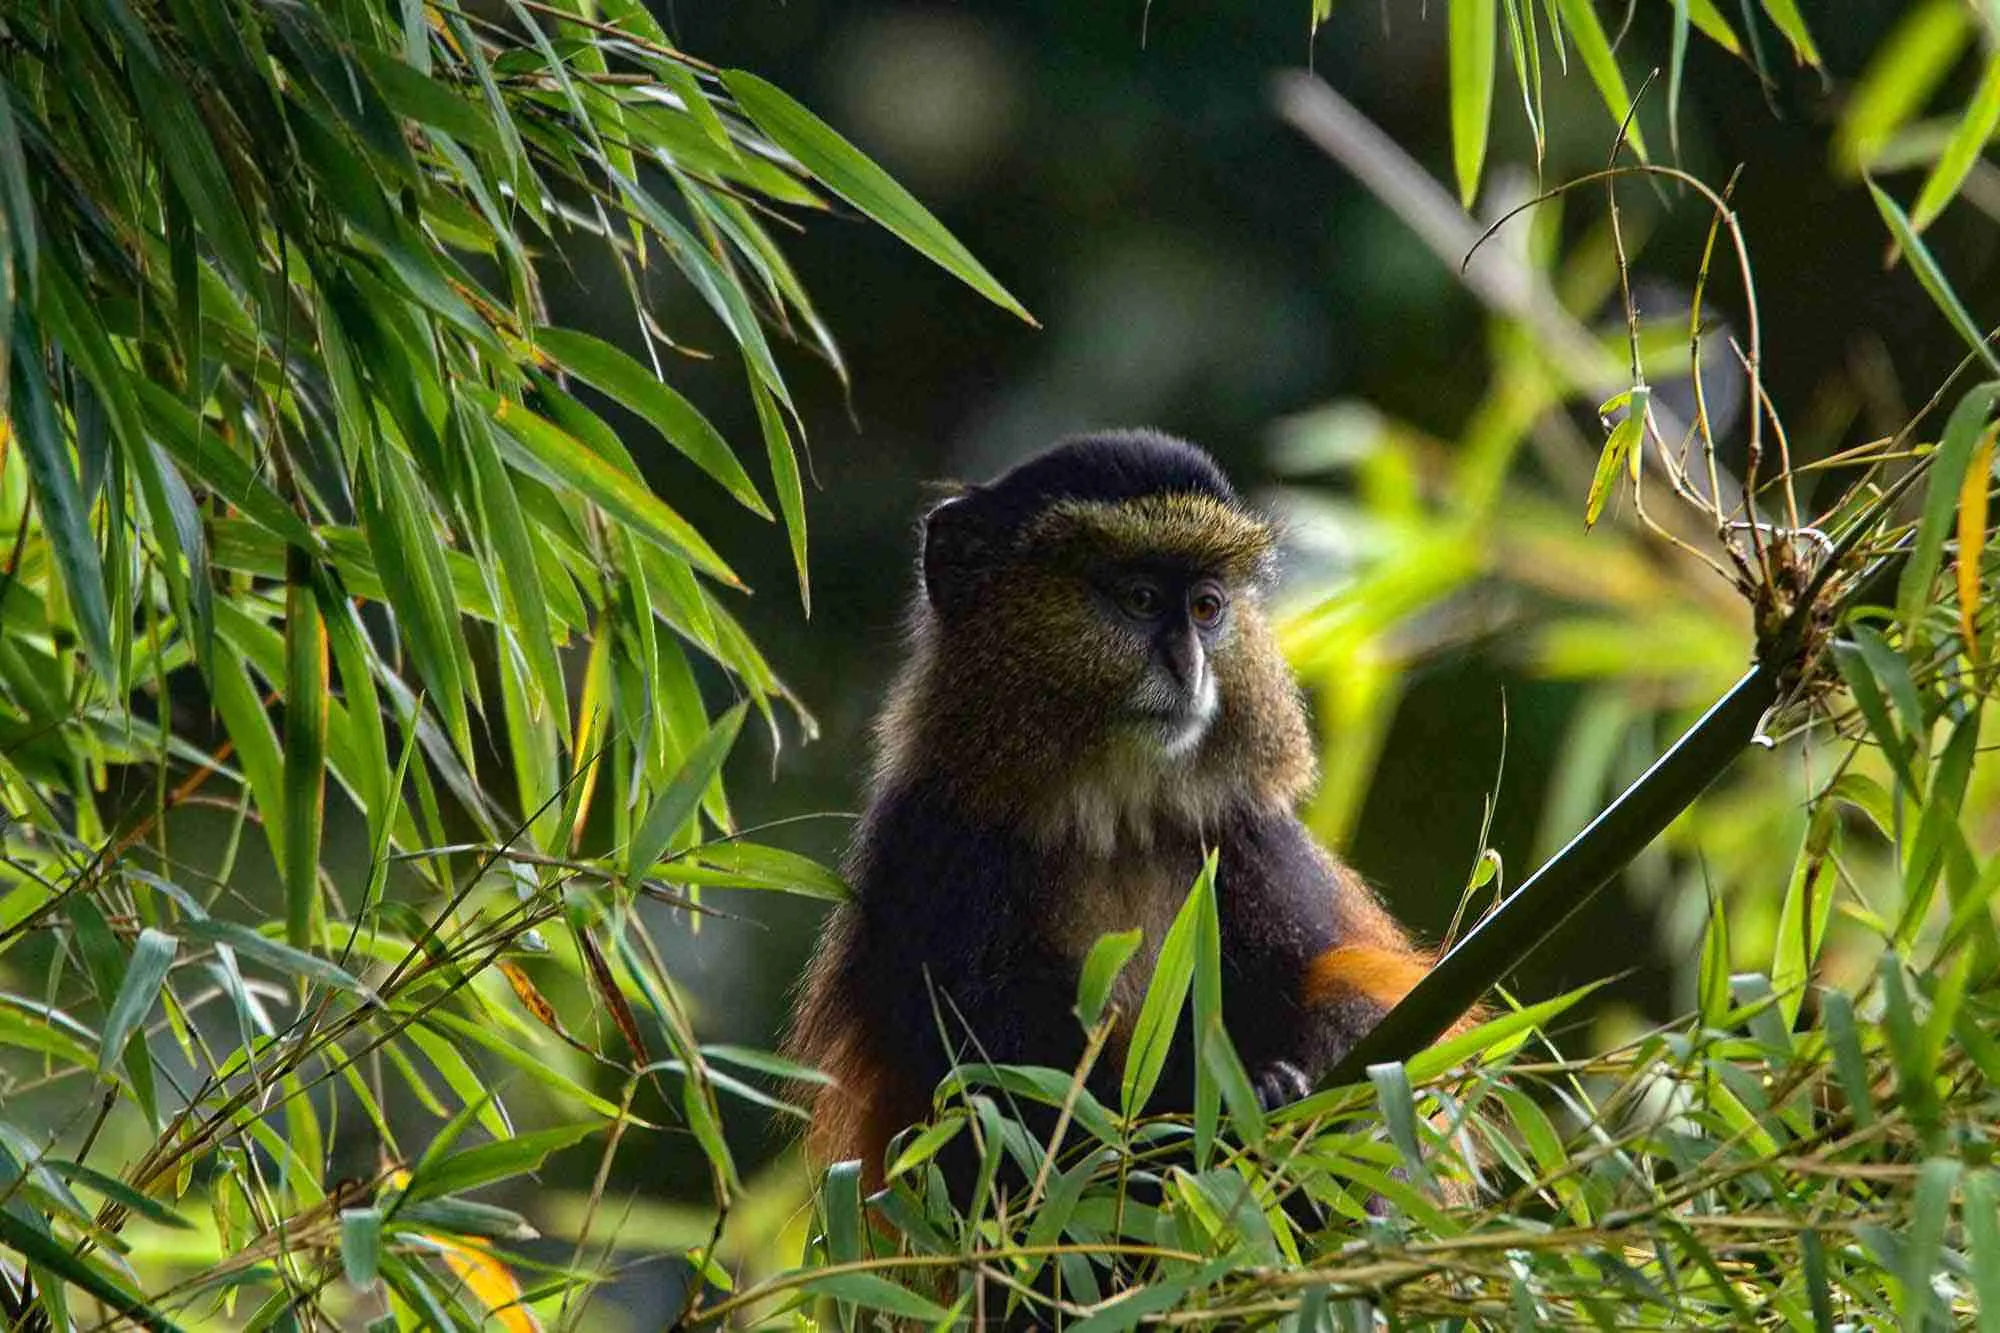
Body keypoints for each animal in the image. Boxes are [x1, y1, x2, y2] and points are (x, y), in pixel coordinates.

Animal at [787, 430, 1447, 1189]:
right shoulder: (929, 854)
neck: (1113, 820)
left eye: (1206, 608)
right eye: (1139, 598)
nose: (1191, 666)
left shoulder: (1255, 841)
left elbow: (1361, 989)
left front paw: (1298, 1079)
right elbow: (1006, 1106)